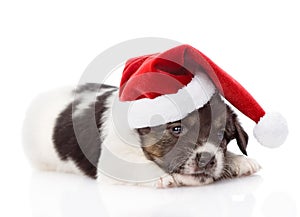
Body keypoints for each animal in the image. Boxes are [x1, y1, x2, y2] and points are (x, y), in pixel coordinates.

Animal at [23, 84, 258, 187]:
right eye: (176, 129)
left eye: (221, 134)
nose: (207, 160)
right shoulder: (112, 160)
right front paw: (161, 176)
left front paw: (238, 160)